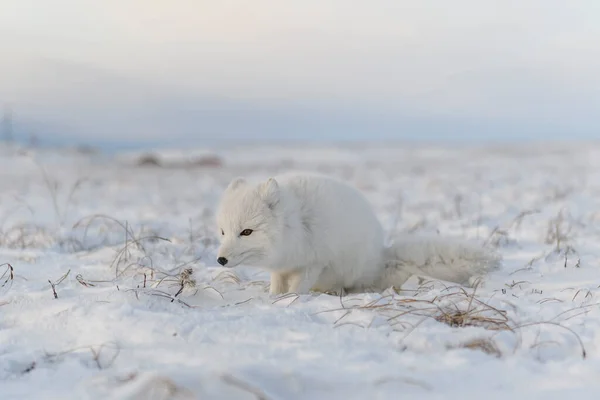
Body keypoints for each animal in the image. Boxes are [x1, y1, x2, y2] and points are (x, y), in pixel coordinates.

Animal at [214, 173, 496, 296]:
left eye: (246, 232)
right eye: (223, 231)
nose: (220, 260)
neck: (296, 225)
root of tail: (380, 258)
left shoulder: (313, 263)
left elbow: (297, 288)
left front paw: (290, 300)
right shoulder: (281, 267)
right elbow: (277, 285)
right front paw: (273, 299)